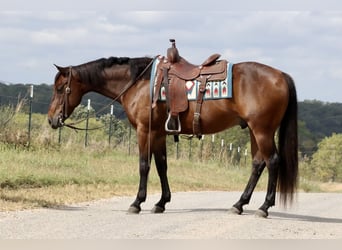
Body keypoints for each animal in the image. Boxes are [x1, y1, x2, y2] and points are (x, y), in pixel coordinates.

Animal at [47, 54, 296, 217]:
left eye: (60, 89)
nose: (52, 119)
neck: (139, 83)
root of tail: (281, 75)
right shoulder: (158, 133)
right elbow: (161, 165)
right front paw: (161, 202)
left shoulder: (144, 130)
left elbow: (144, 165)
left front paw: (137, 202)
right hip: (255, 131)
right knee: (258, 164)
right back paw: (239, 204)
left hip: (262, 131)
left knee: (272, 162)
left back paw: (264, 207)